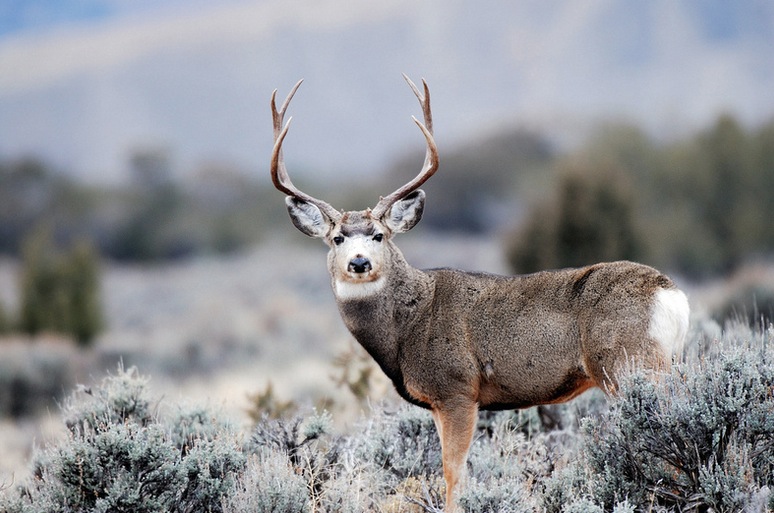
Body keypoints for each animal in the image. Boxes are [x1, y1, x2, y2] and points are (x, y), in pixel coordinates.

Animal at [269, 75, 690, 511]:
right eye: (337, 238)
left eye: (379, 235)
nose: (358, 262)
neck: (408, 326)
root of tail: (671, 294)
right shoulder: (439, 402)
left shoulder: (457, 389)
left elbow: (453, 473)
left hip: (628, 363)